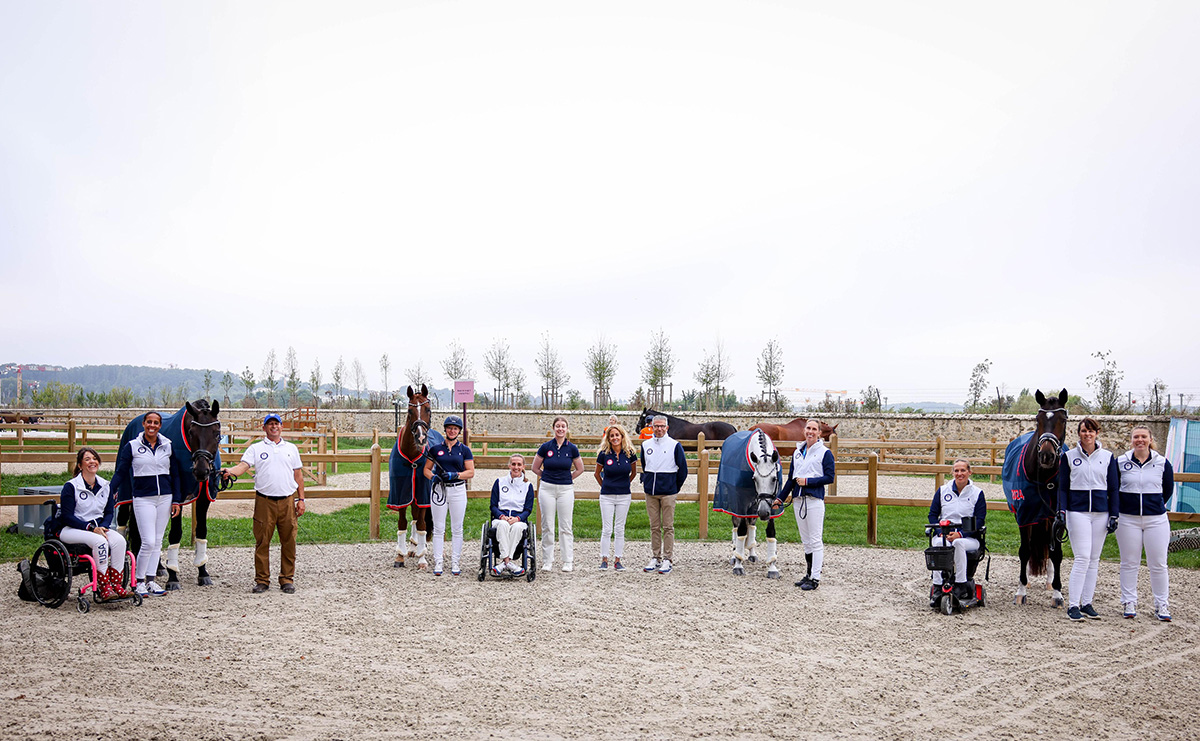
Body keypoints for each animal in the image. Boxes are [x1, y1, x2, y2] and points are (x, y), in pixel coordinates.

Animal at [115, 398, 224, 587]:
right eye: (191, 432)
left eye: (217, 434)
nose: (201, 472)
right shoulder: (176, 498)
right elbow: (175, 534)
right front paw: (173, 576)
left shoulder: (204, 497)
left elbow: (201, 531)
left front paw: (203, 572)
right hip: (126, 492)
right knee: (123, 522)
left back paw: (156, 566)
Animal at [386, 383, 434, 568]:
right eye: (409, 410)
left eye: (428, 409)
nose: (421, 437)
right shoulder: (400, 493)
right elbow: (403, 523)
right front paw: (400, 556)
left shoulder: (423, 493)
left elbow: (421, 524)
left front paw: (422, 559)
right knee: (413, 518)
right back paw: (413, 547)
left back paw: (419, 548)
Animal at [1008, 388, 1065, 601]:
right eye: (1038, 419)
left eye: (1063, 419)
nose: (1047, 456)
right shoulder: (1024, 515)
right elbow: (1025, 550)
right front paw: (1021, 590)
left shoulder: (1058, 516)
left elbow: (1056, 553)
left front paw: (1057, 592)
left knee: (1049, 550)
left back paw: (1049, 581)